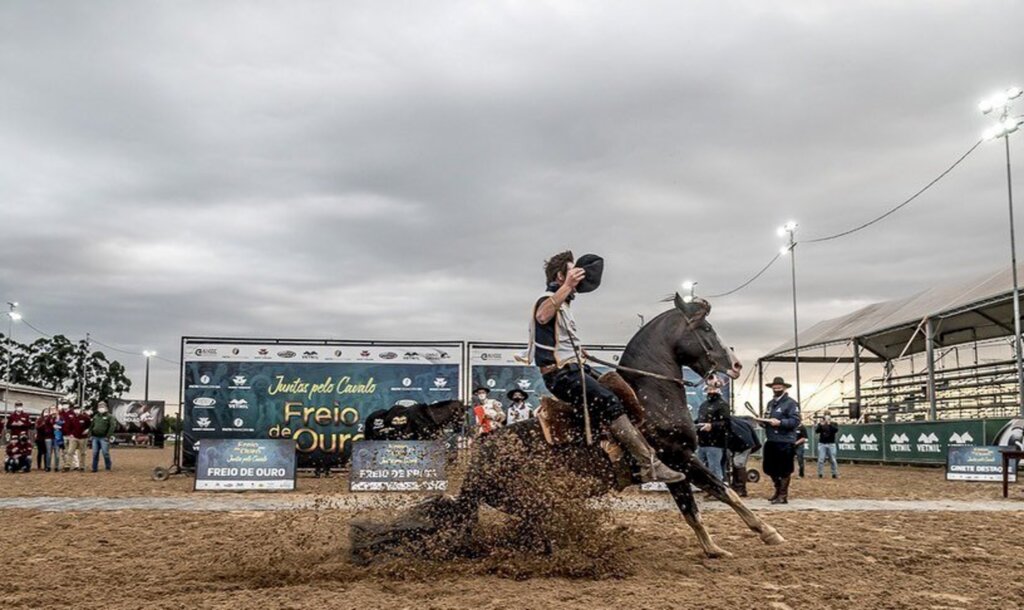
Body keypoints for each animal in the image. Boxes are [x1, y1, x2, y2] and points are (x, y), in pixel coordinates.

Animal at [352, 294, 782, 560]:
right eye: (707, 330)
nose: (735, 365)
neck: (649, 395)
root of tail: (473, 475)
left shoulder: (678, 467)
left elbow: (691, 509)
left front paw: (712, 548)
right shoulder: (679, 457)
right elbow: (723, 490)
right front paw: (768, 532)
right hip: (531, 499)